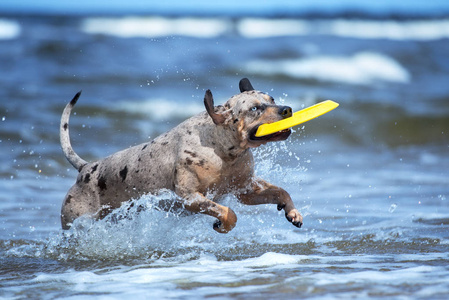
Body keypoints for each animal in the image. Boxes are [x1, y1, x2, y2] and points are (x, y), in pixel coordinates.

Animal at [59, 78, 302, 233]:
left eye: (272, 99)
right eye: (254, 109)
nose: (287, 109)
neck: (224, 153)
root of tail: (84, 168)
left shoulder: (245, 189)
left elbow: (281, 191)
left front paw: (292, 212)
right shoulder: (190, 198)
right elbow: (228, 213)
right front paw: (223, 225)